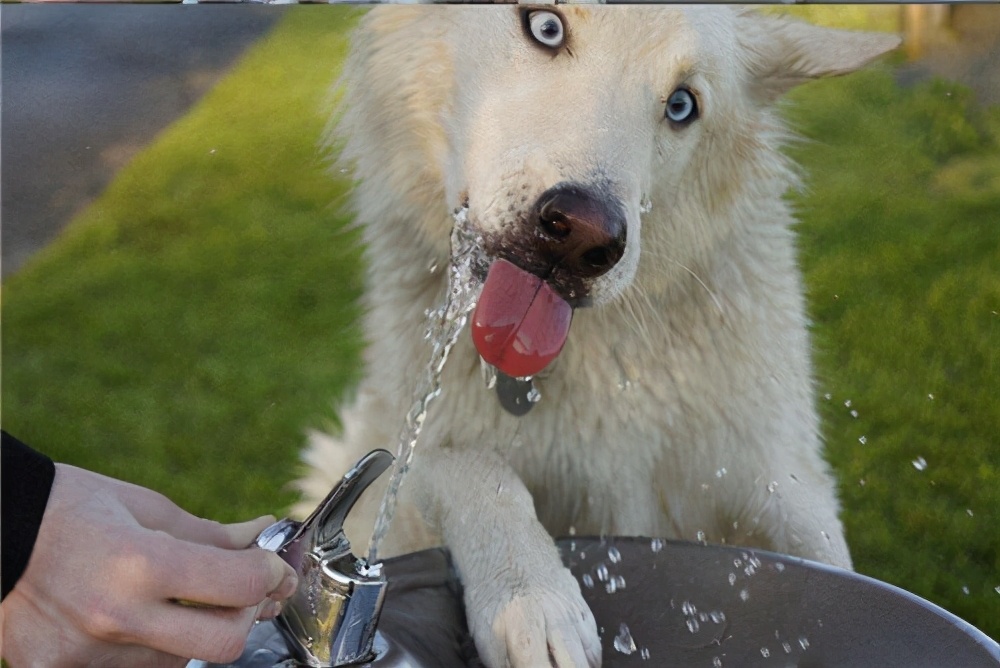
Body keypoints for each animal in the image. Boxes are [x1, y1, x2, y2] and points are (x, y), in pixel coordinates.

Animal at [294, 7, 900, 664]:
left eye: (681, 105)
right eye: (546, 27)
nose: (582, 237)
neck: (607, 366)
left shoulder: (779, 473)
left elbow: (827, 555)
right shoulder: (413, 454)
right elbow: (472, 470)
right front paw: (531, 600)